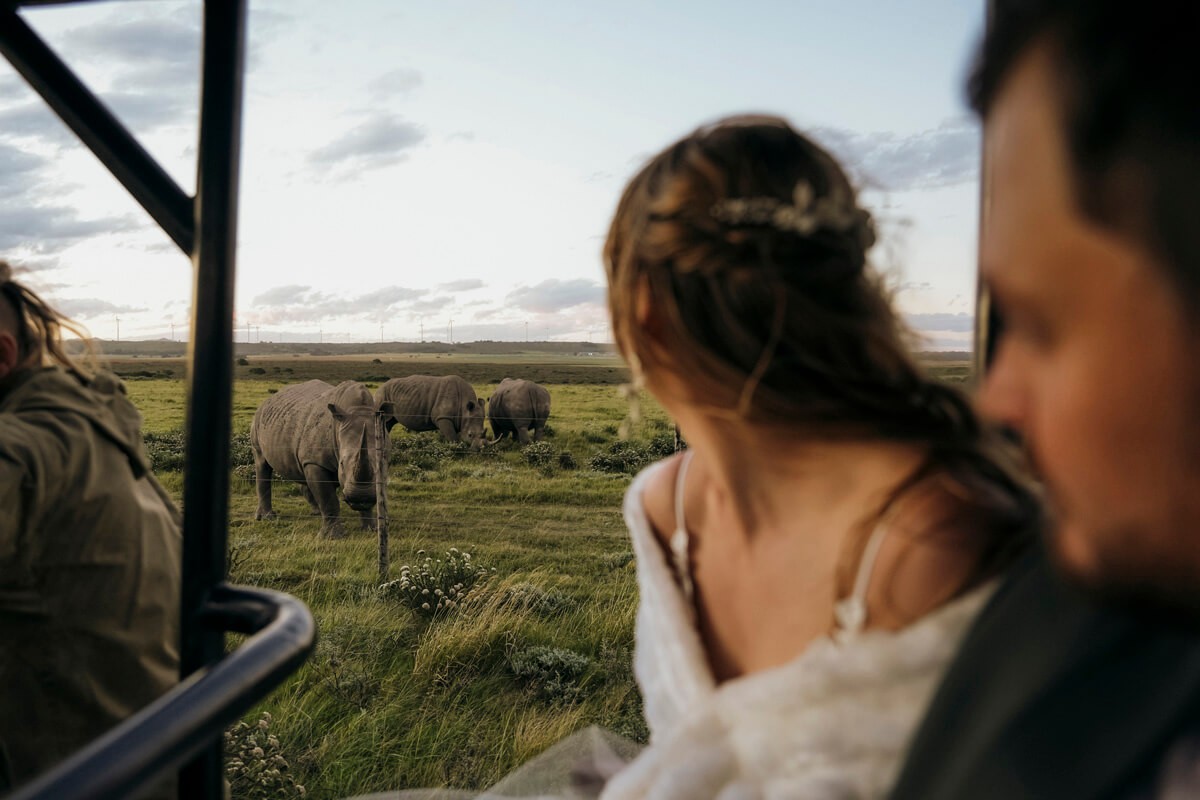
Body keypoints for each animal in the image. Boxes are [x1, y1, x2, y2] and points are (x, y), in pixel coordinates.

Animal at [251, 380, 387, 538]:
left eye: (382, 465)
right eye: (341, 464)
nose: (361, 497)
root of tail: (268, 400)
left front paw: (372, 530)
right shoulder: (315, 462)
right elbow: (328, 498)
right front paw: (332, 537)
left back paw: (316, 512)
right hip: (258, 421)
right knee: (262, 463)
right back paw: (267, 518)